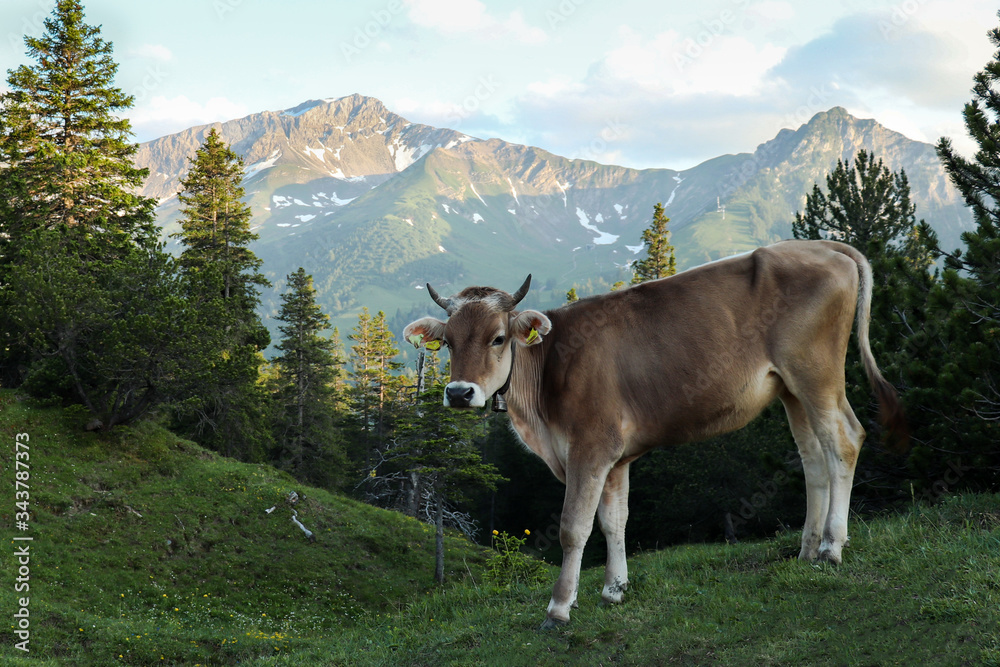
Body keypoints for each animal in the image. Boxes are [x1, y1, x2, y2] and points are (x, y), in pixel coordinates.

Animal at [402, 241, 904, 632]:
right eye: (448, 342)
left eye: (498, 338)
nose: (458, 392)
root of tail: (824, 246)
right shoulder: (615, 457)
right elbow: (614, 520)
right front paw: (614, 589)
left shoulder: (591, 447)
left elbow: (574, 527)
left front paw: (559, 608)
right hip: (791, 389)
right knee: (814, 458)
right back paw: (807, 551)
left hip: (815, 371)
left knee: (844, 440)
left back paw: (833, 547)